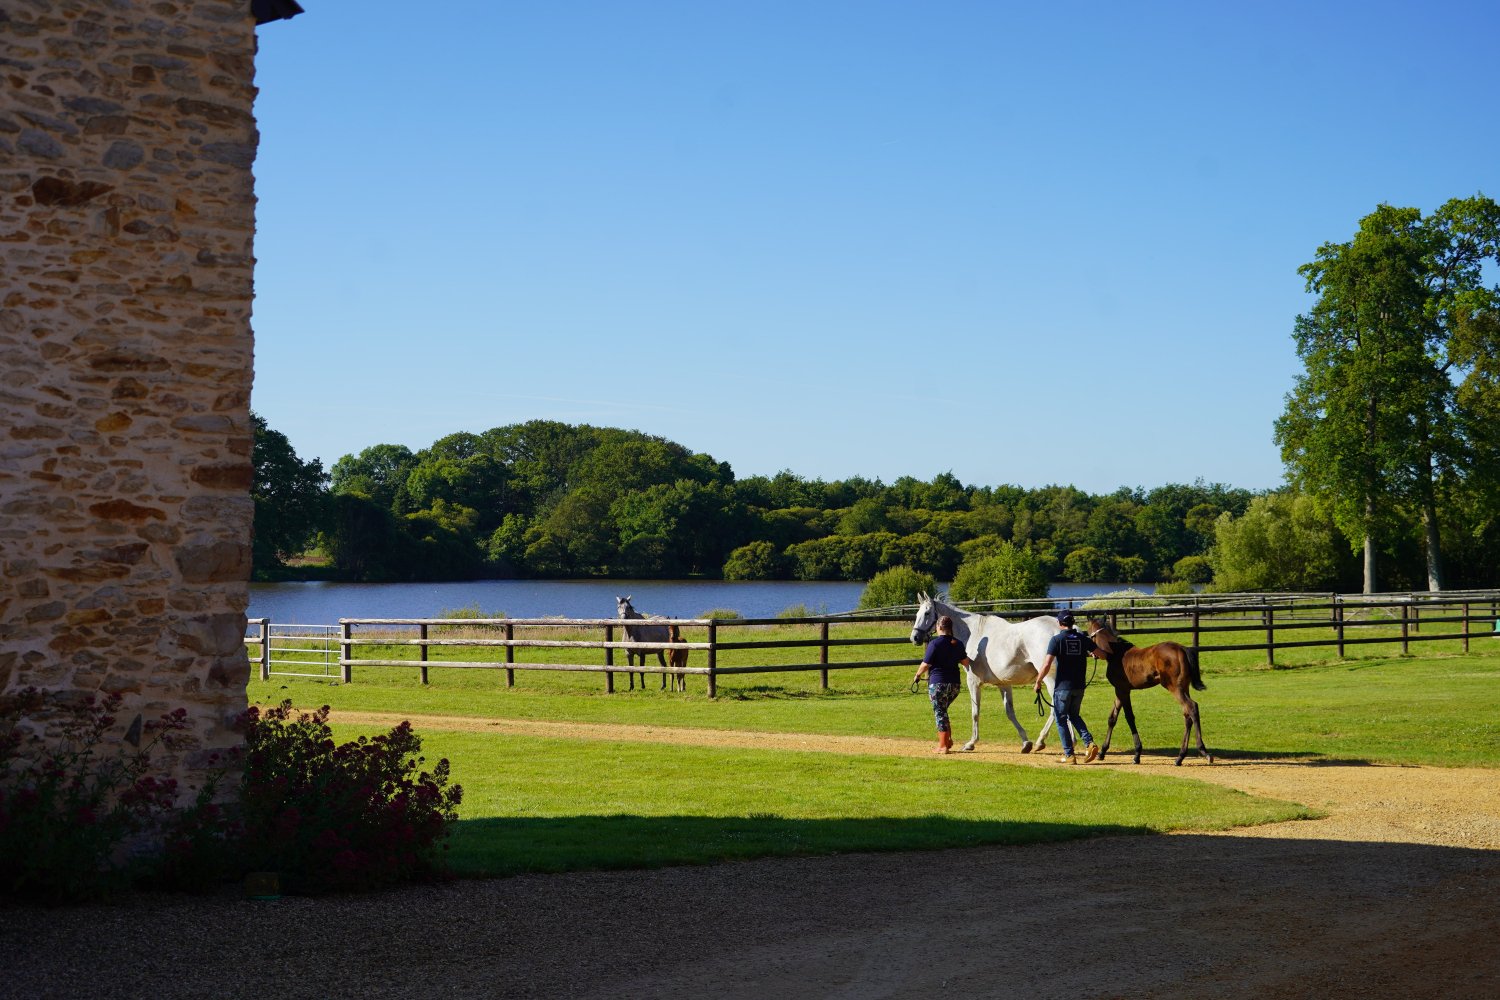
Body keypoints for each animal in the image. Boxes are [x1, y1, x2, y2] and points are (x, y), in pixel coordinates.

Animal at [909, 592, 1065, 753]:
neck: (973, 633)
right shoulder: (1004, 683)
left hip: (1050, 679)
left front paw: (971, 743)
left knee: (1056, 708)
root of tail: (1058, 630)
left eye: (927, 613)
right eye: (917, 614)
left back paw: (1043, 741)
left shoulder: (973, 682)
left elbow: (975, 712)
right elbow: (1010, 712)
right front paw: (1026, 742)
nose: (914, 638)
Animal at [1086, 617, 1213, 766]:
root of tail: (1181, 648)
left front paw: (1137, 754)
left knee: (1192, 707)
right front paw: (1102, 752)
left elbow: (1129, 718)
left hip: (1174, 687)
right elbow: (1112, 718)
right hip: (1184, 687)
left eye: (1087, 630)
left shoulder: (1122, 690)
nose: (1090, 653)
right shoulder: (1120, 690)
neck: (1116, 654)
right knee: (1187, 715)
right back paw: (1180, 757)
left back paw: (1203, 751)